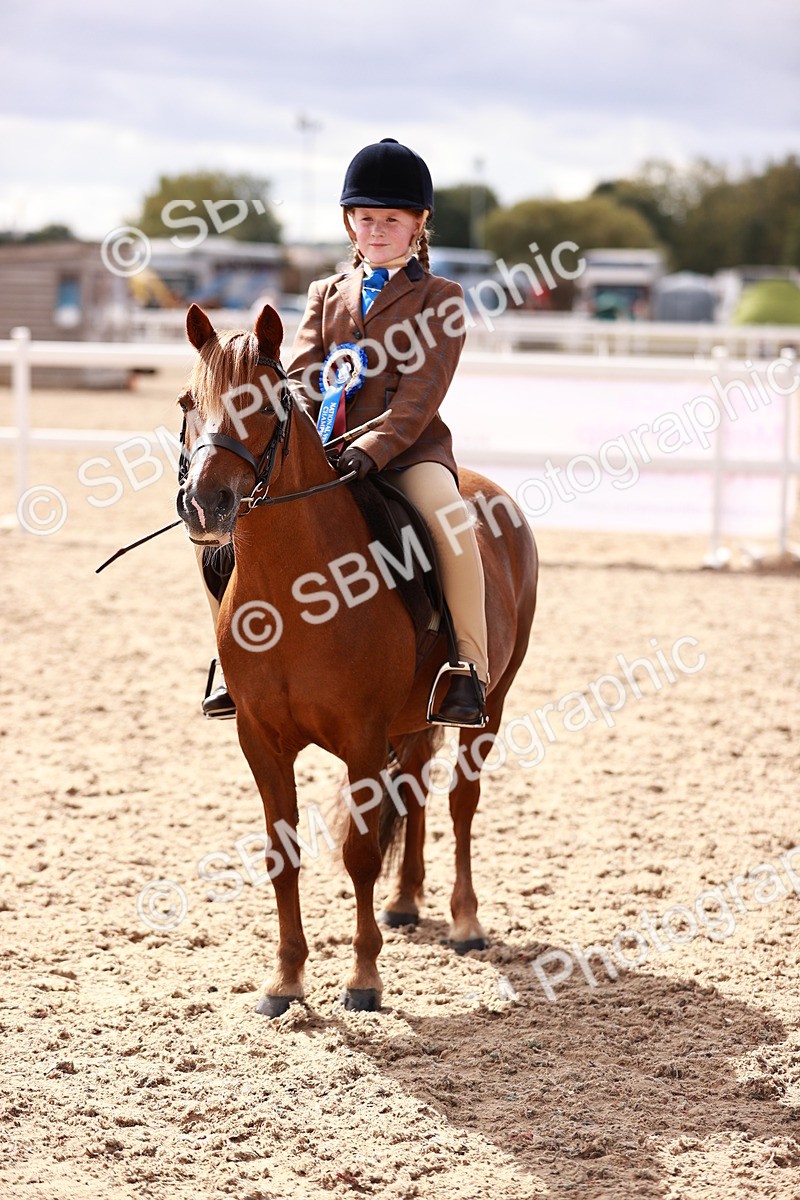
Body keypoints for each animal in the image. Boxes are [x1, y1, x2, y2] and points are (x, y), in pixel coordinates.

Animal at [176, 302, 538, 1016]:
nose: (205, 505)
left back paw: (464, 922)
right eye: (185, 402)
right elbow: (281, 853)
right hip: (414, 717)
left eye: (265, 402)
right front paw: (285, 980)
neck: (295, 593)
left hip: (492, 702)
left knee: (461, 801)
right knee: (419, 785)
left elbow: (360, 854)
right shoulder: (260, 739)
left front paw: (364, 978)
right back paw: (405, 903)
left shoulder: (363, 737)